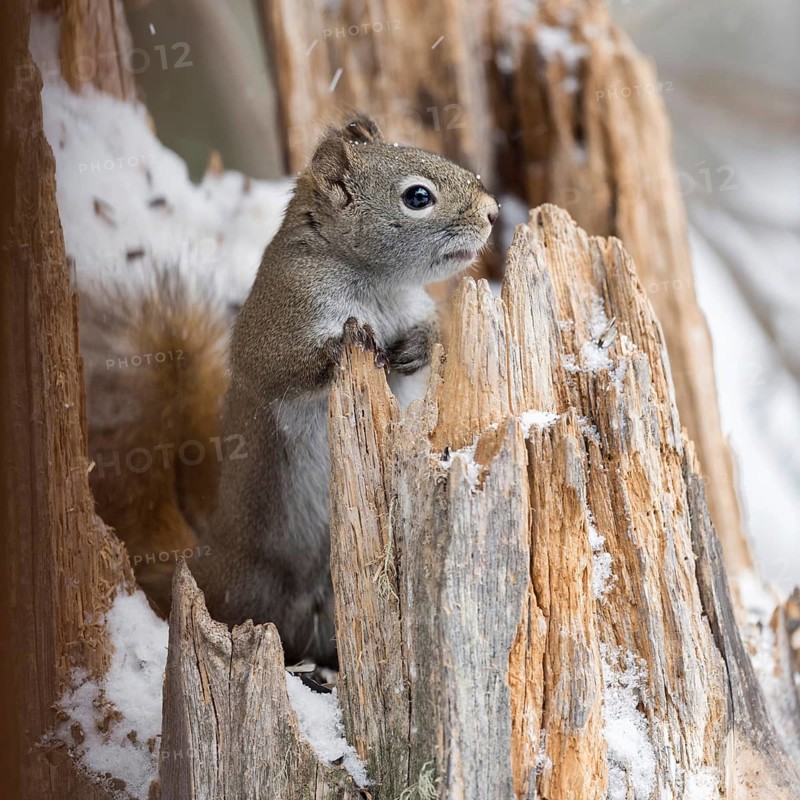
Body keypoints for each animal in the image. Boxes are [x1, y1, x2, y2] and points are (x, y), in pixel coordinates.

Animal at [81, 113, 498, 667]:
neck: (376, 283)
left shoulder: (415, 307)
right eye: (417, 197)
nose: (492, 212)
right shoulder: (282, 322)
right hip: (250, 584)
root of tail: (200, 556)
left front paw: (416, 347)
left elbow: (431, 337)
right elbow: (287, 368)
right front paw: (348, 341)